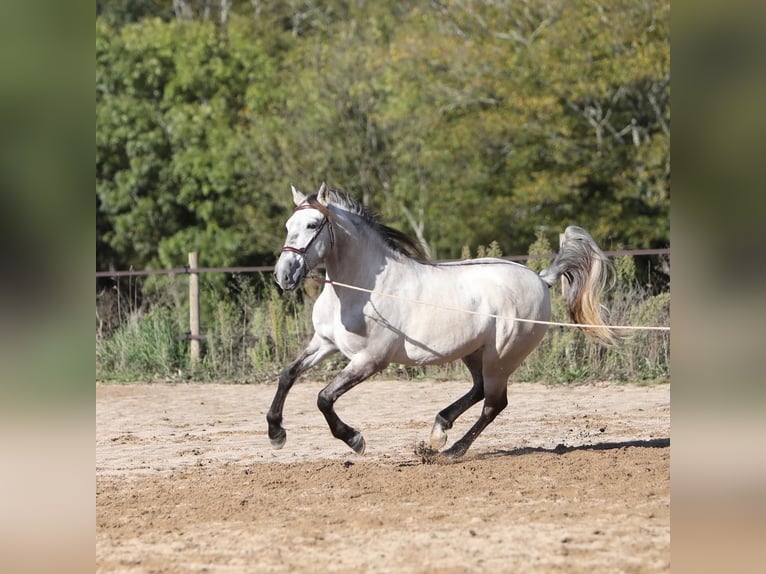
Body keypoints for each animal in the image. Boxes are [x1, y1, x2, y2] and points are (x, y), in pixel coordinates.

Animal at [270, 183, 616, 460]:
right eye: (287, 225)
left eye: (313, 224)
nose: (284, 275)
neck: (362, 289)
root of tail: (541, 279)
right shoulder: (324, 343)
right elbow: (287, 375)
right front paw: (276, 434)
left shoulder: (371, 360)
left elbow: (324, 398)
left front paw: (355, 440)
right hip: (474, 352)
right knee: (479, 390)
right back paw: (439, 430)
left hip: (502, 357)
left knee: (494, 403)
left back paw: (451, 450)